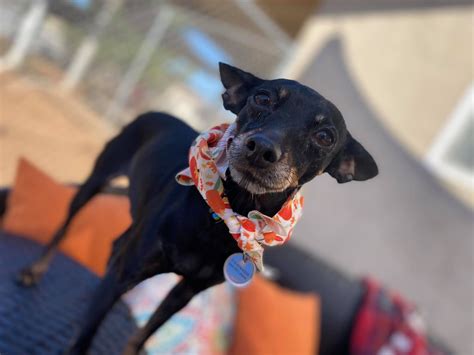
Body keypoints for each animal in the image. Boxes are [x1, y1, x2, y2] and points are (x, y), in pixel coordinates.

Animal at [16, 62, 378, 354]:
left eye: (325, 136)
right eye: (262, 98)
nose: (261, 148)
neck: (227, 216)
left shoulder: (186, 291)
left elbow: (142, 335)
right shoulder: (127, 272)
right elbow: (85, 337)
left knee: (115, 245)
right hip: (97, 179)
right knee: (68, 222)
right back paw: (34, 270)